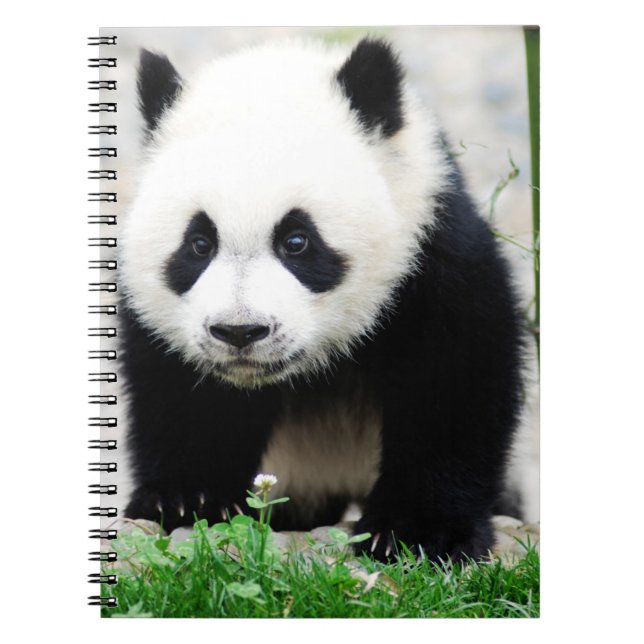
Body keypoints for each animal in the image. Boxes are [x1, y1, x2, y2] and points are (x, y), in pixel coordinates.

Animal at [119, 37, 525, 562]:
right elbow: (179, 394)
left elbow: (453, 378)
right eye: (199, 243)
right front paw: (186, 499)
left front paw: (417, 531)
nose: (240, 331)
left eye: (297, 241)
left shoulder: (431, 250)